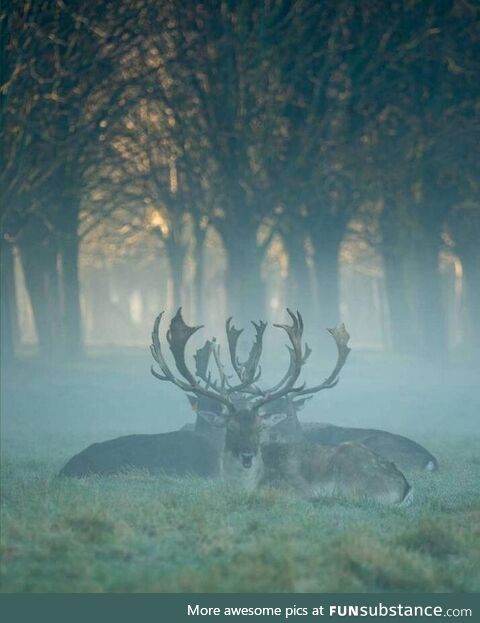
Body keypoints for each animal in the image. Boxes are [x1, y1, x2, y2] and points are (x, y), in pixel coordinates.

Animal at [151, 310, 412, 504]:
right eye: (230, 428)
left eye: (259, 428)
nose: (247, 456)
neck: (245, 485)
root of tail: (405, 485)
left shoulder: (295, 489)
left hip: (354, 482)